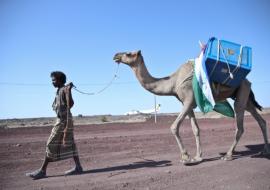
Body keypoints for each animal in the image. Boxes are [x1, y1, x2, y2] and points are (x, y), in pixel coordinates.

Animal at [113, 49, 268, 164]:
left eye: (129, 53)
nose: (115, 56)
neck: (173, 82)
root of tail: (247, 81)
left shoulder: (188, 99)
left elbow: (174, 127)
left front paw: (185, 157)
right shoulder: (188, 103)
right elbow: (195, 129)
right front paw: (198, 157)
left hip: (241, 93)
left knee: (240, 124)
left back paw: (228, 155)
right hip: (245, 96)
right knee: (260, 120)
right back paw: (265, 150)